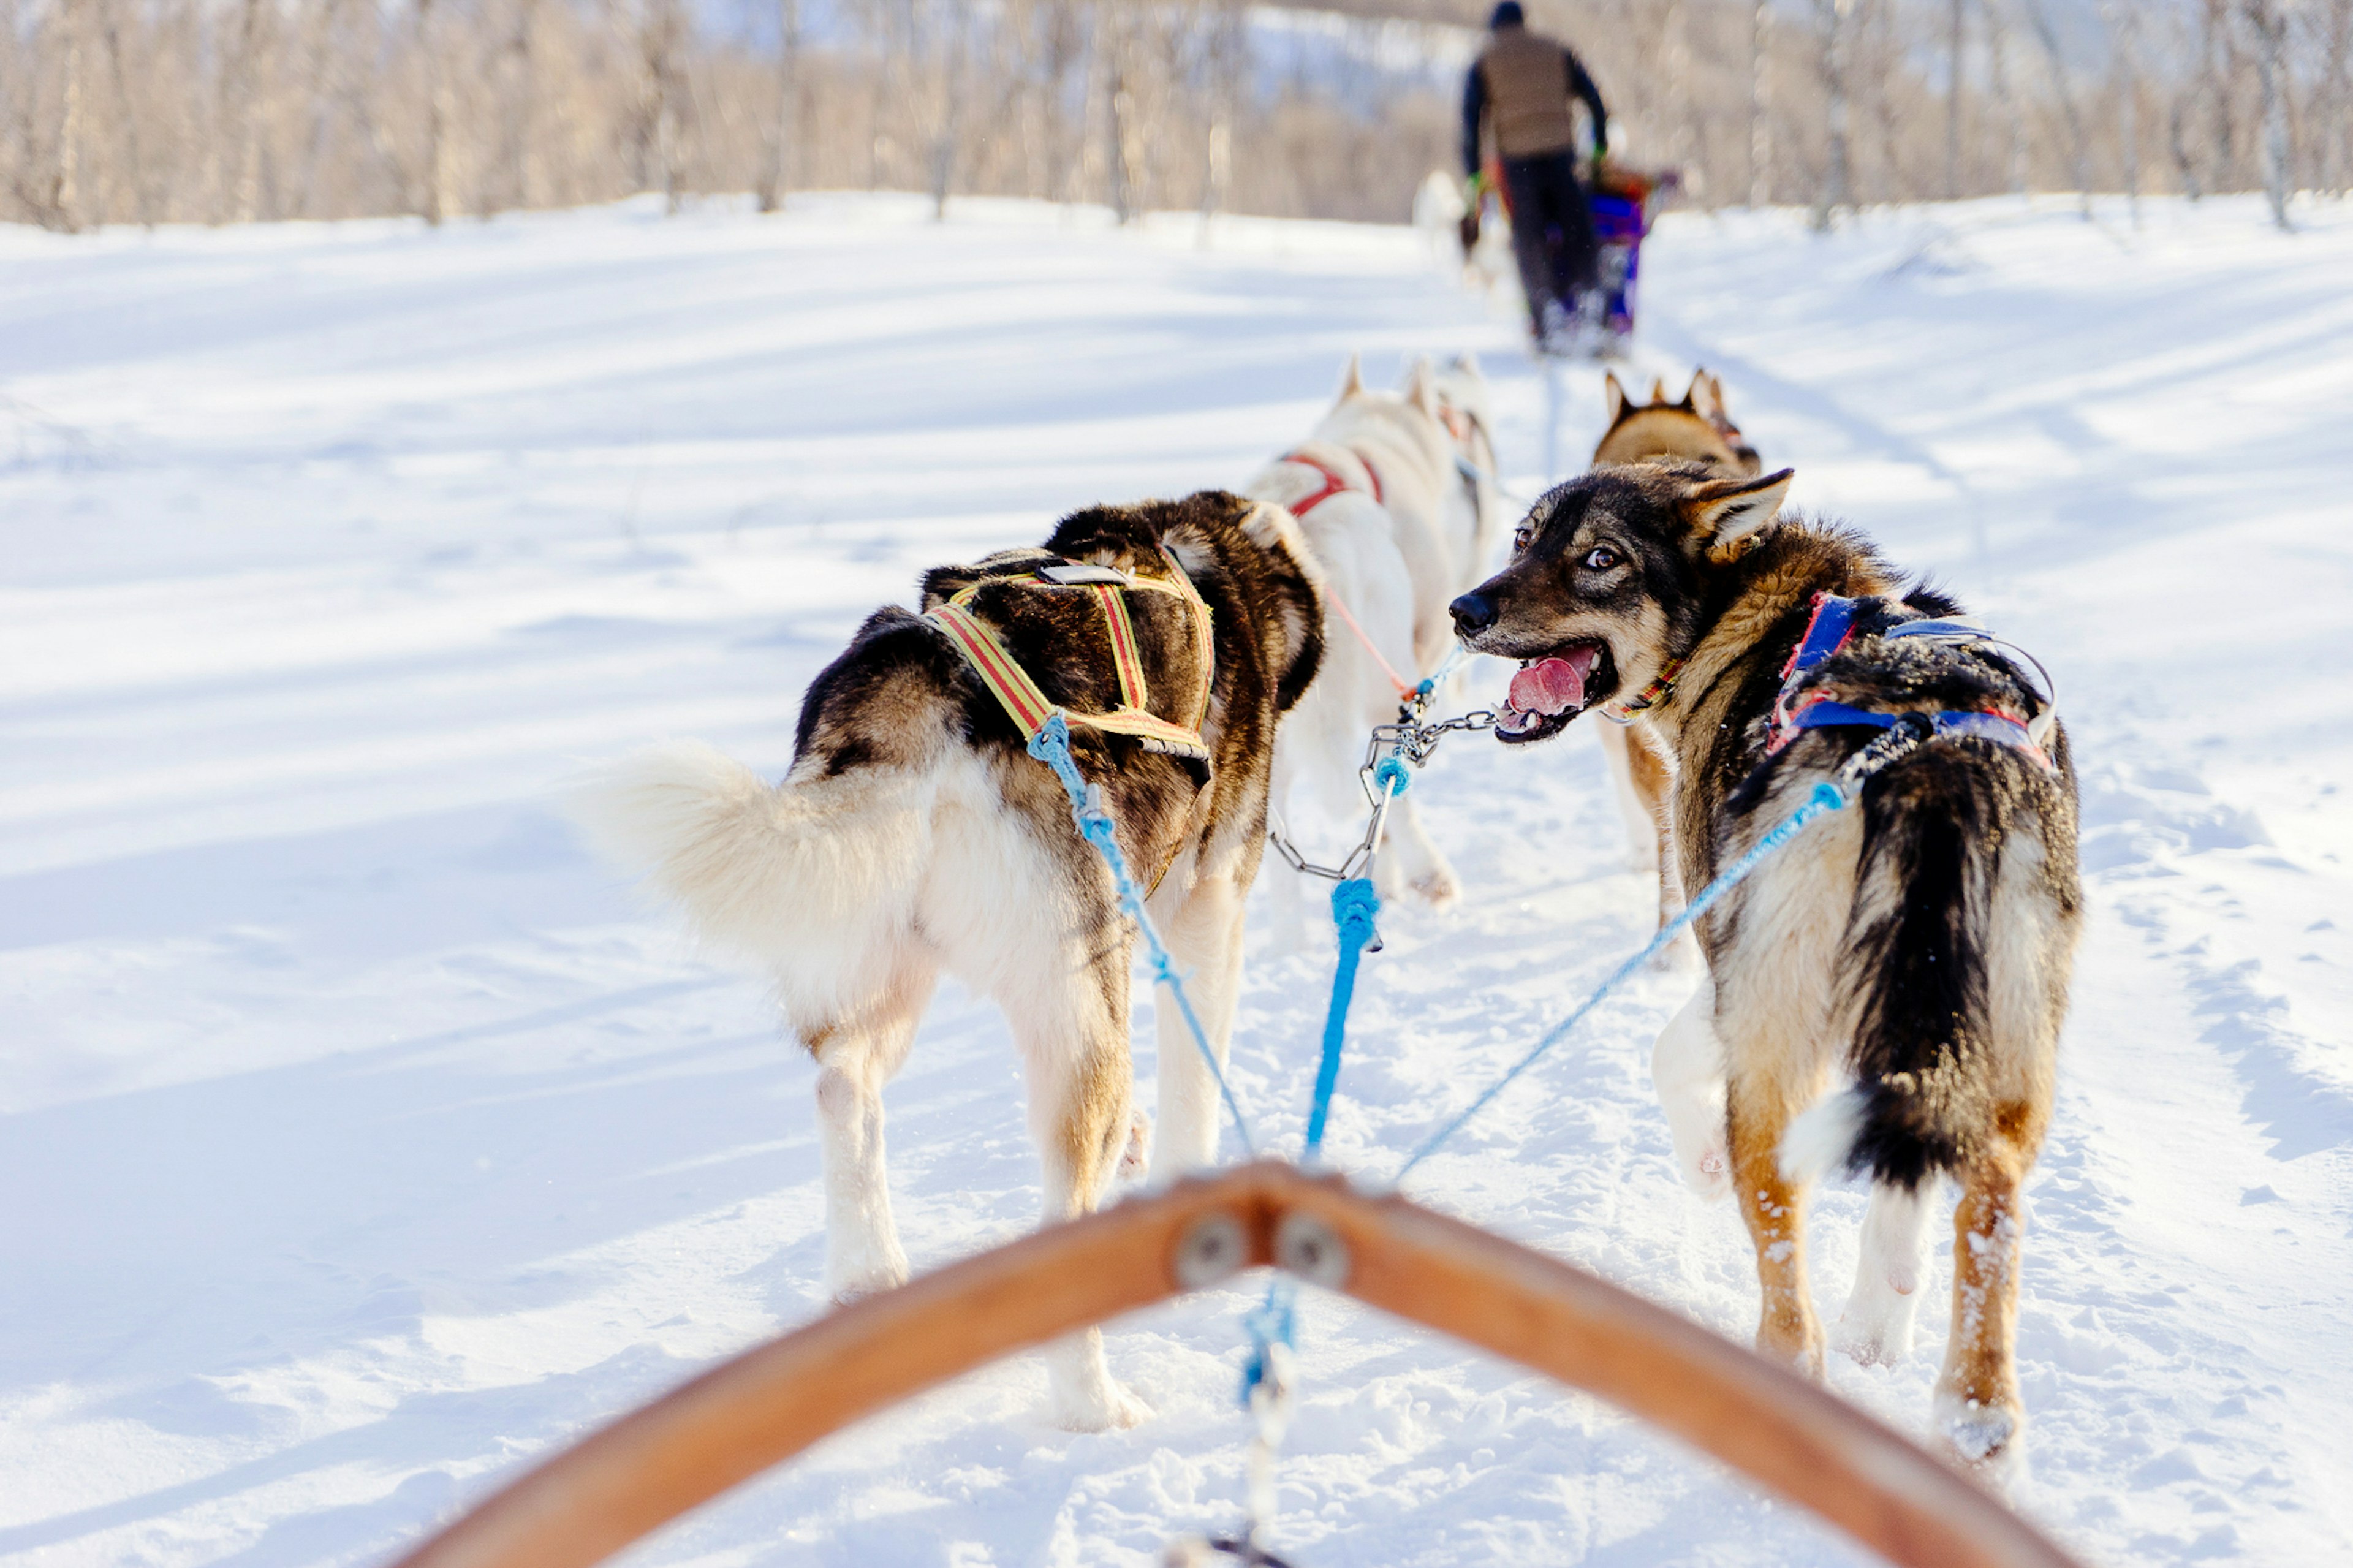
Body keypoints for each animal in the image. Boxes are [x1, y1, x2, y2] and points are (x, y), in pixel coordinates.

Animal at [559, 492, 1317, 1431]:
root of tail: (918, 689)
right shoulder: (1206, 907)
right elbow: (1194, 1090)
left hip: (884, 962)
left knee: (843, 1087)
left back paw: (868, 1280)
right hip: (1075, 1010)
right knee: (1069, 1181)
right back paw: (1094, 1400)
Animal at [1449, 459, 2080, 1460]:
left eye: (1600, 558)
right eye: (1525, 536)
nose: (1463, 609)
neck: (1749, 619)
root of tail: (1921, 750)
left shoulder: (1728, 955)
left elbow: (1666, 1054)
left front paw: (1701, 1164)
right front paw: (1885, 1308)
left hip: (1782, 1023)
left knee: (1780, 1223)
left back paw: (1786, 1374)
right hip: (2015, 1039)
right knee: (1989, 1195)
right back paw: (1973, 1415)